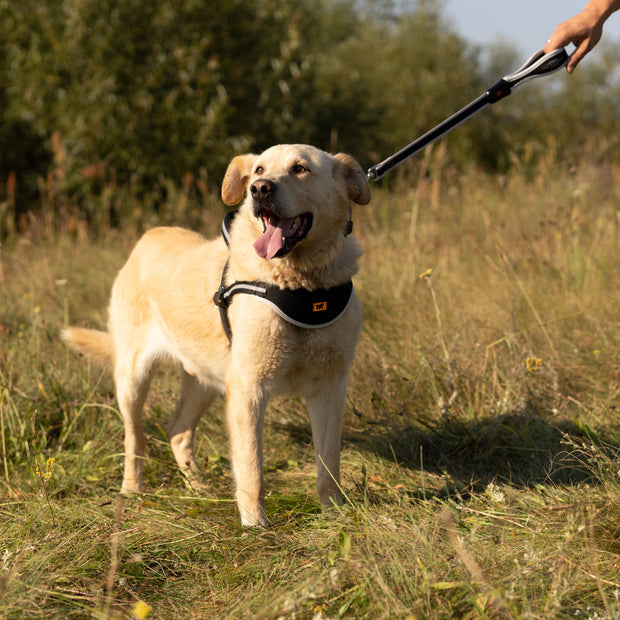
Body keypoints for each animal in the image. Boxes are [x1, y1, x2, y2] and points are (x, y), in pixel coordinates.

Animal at [64, 145, 368, 528]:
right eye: (259, 170)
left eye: (300, 169)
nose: (259, 189)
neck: (300, 285)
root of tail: (148, 236)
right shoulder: (249, 388)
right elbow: (252, 468)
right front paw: (255, 525)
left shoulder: (330, 387)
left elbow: (329, 464)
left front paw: (335, 515)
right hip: (133, 379)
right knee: (134, 440)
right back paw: (132, 491)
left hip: (206, 379)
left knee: (178, 430)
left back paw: (199, 487)